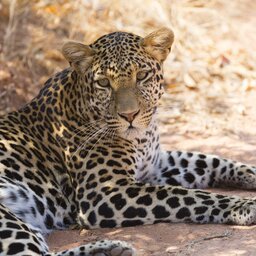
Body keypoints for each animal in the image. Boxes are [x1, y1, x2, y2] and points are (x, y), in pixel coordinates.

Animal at [0, 27, 256, 255]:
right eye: (104, 83)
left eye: (141, 76)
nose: (129, 115)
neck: (142, 137)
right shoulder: (104, 191)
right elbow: (186, 195)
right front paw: (245, 206)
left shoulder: (155, 164)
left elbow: (211, 160)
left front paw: (251, 174)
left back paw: (109, 249)